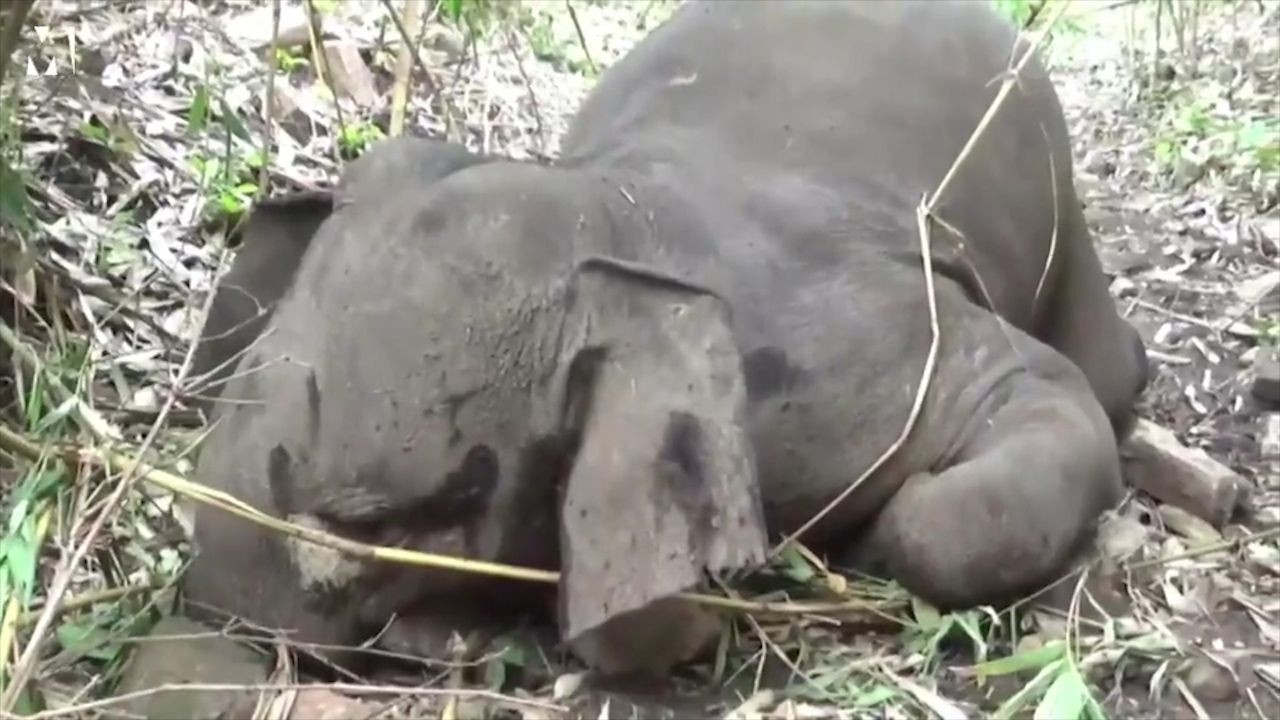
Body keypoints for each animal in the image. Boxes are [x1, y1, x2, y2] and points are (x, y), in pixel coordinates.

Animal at [182, 0, 1149, 680]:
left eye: (365, 525)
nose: (227, 610)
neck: (613, 208)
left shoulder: (845, 363)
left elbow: (1031, 403)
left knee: (1103, 371)